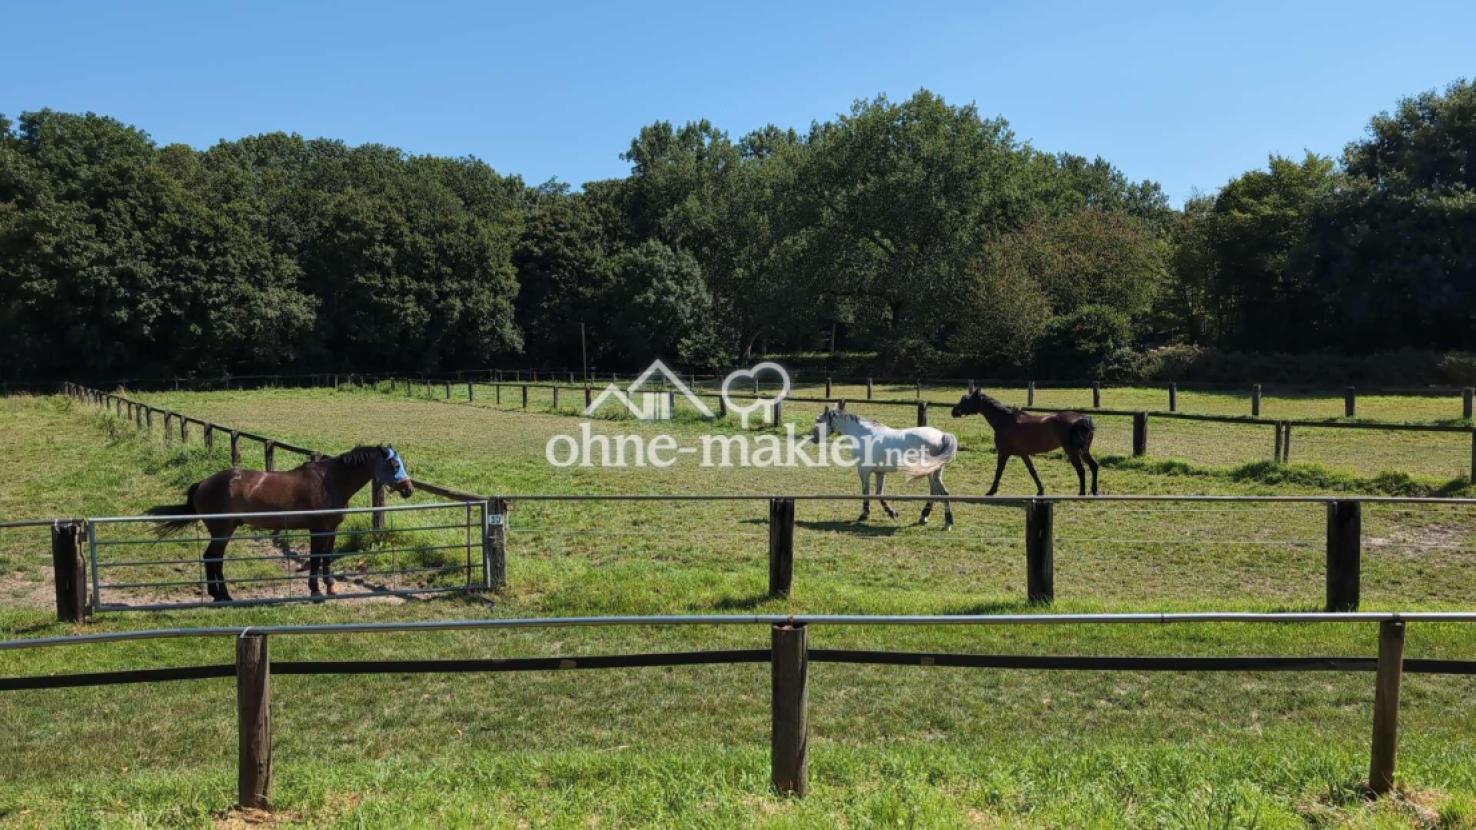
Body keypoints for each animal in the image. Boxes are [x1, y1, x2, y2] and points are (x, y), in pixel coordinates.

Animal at [145, 443, 416, 596]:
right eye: (393, 464)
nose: (408, 488)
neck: (330, 481)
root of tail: (202, 483)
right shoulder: (317, 529)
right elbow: (315, 559)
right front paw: (315, 590)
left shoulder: (331, 529)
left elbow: (327, 558)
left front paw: (330, 587)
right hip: (222, 531)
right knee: (213, 558)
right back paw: (221, 595)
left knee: (214, 559)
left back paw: (221, 594)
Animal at [808, 404, 956, 522]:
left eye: (818, 420)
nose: (813, 438)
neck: (862, 434)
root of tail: (942, 436)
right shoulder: (880, 472)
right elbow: (879, 493)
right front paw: (892, 513)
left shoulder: (864, 471)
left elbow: (866, 492)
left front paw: (864, 515)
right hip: (936, 473)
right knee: (938, 492)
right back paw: (927, 517)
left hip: (931, 472)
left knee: (940, 492)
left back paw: (944, 521)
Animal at [950, 386, 1104, 493]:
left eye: (964, 399)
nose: (953, 411)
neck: (1005, 421)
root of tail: (1083, 418)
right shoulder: (1024, 454)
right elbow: (1033, 471)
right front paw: (1040, 490)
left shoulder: (1003, 453)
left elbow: (999, 472)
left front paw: (991, 491)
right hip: (1084, 451)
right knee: (1094, 466)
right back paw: (1094, 491)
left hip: (1072, 451)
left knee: (1081, 470)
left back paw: (1081, 493)